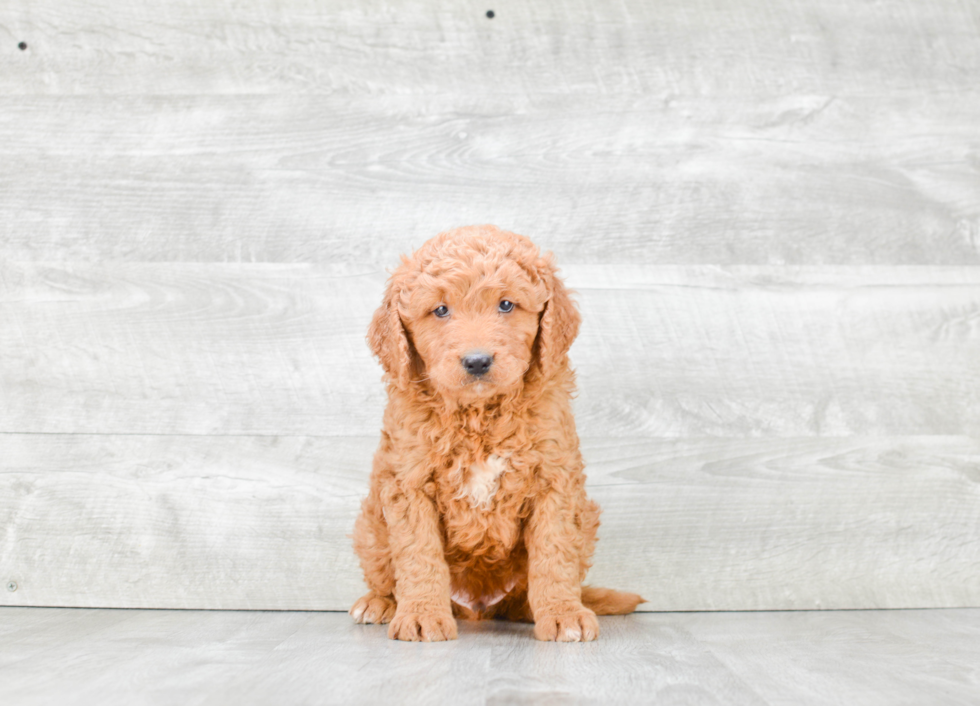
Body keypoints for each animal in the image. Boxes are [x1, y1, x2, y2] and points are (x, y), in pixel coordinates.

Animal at [350, 224, 644, 640]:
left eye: (506, 305)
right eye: (440, 310)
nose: (477, 361)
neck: (480, 415)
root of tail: (478, 606)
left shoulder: (555, 480)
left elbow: (555, 554)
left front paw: (564, 613)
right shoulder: (409, 484)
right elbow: (419, 555)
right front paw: (422, 614)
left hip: (583, 521)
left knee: (525, 593)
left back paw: (538, 608)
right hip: (371, 528)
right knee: (385, 576)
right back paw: (380, 603)